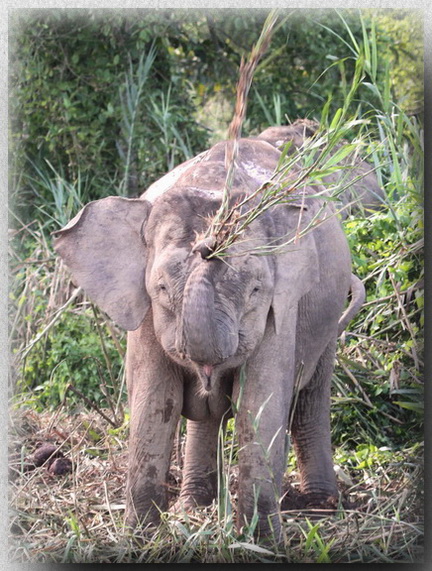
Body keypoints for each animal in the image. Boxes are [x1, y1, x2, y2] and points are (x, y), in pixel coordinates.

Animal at [52, 122, 366, 540]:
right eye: (162, 289)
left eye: (255, 290)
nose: (207, 245)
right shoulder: (145, 314)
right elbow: (156, 400)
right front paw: (141, 538)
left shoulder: (281, 307)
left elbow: (259, 403)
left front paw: (260, 542)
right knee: (209, 417)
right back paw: (194, 505)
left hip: (326, 315)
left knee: (310, 397)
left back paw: (318, 507)